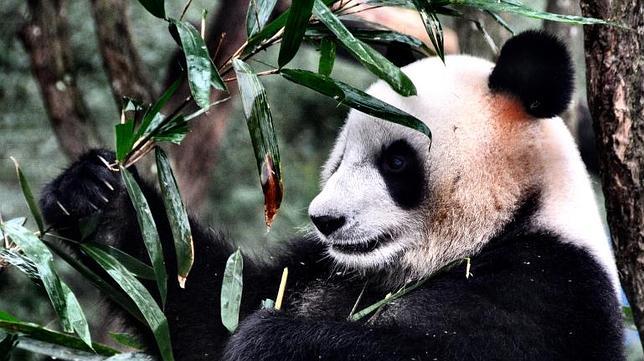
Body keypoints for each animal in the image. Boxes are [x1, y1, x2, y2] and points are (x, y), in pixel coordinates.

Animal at [40, 29, 624, 358]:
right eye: (339, 158)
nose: (325, 221)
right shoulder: (319, 268)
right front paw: (93, 196)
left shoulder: (550, 288)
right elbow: (204, 311)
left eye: (396, 162)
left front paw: (273, 342)